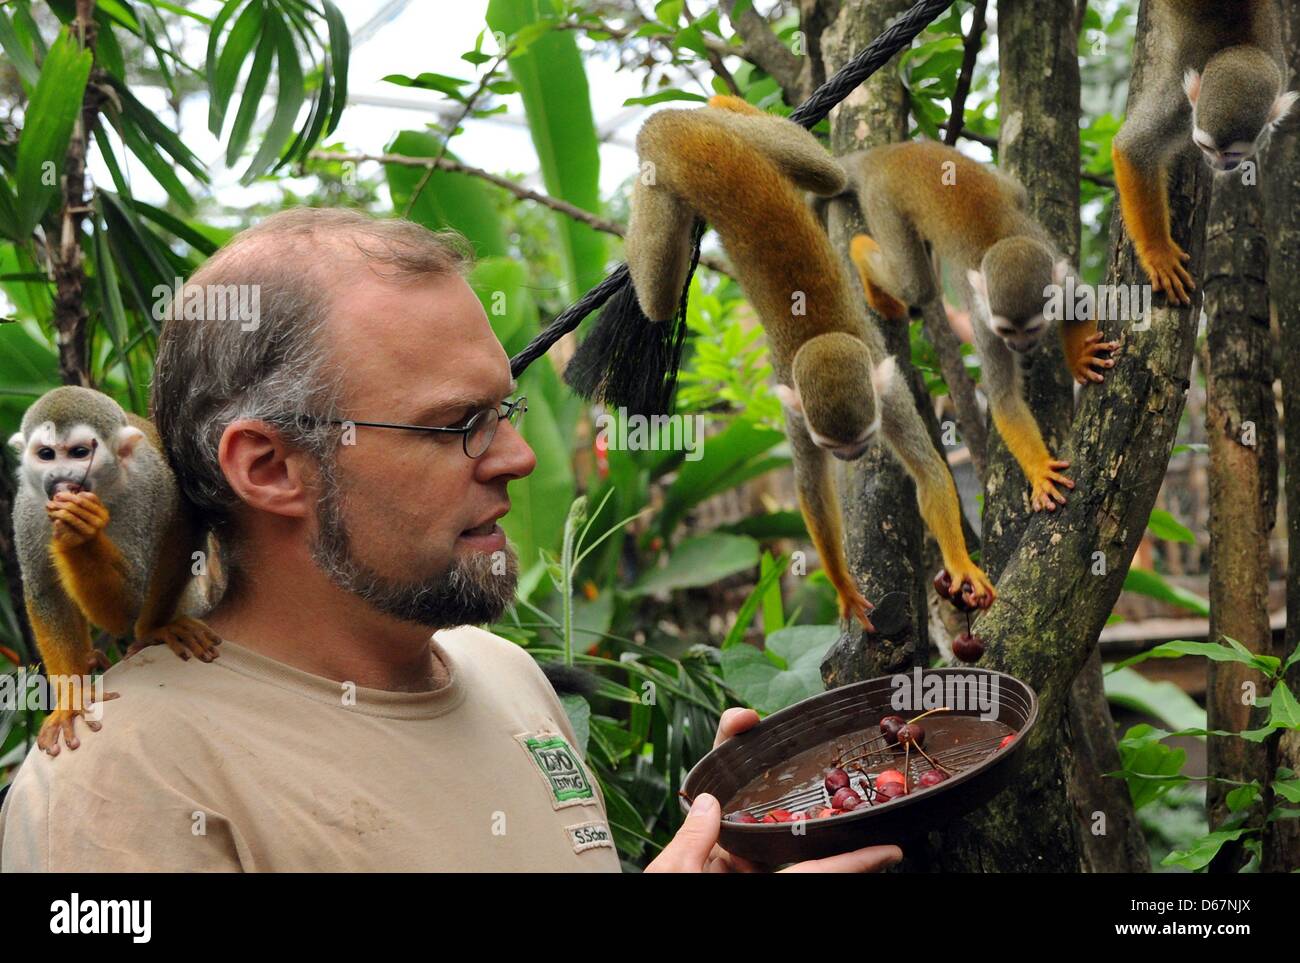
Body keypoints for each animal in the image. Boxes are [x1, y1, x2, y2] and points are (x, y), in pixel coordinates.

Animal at [7, 386, 221, 754]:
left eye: (80, 453)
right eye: (46, 454)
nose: (59, 479)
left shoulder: (146, 489)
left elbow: (127, 603)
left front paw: (82, 532)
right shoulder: (29, 508)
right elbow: (45, 590)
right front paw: (72, 698)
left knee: (181, 530)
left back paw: (156, 627)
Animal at [623, 96, 995, 627]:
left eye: (861, 439)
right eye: (833, 444)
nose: (851, 457)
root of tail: (695, 145)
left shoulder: (888, 392)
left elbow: (928, 472)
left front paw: (961, 565)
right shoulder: (796, 410)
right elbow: (813, 491)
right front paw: (843, 585)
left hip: (716, 150)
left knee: (826, 176)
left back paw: (726, 103)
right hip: (666, 172)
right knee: (657, 301)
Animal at [840, 140, 1118, 513]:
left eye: (1031, 330)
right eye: (1006, 332)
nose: (1019, 347)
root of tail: (893, 152)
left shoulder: (1065, 284)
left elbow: (1081, 305)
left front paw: (1081, 360)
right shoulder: (984, 323)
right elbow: (1003, 399)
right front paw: (1041, 470)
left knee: (1016, 193)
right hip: (882, 199)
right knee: (915, 286)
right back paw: (860, 253)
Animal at [1111, 0, 1298, 303]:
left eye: (1233, 155)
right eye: (1206, 147)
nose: (1218, 165)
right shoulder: (1182, 103)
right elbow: (1133, 149)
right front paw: (1158, 253)